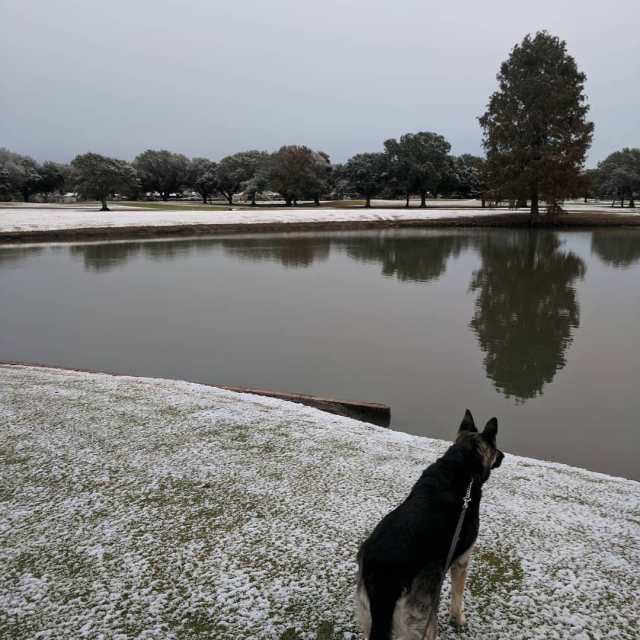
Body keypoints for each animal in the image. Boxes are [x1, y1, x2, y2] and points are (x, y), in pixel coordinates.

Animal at [358, 410, 502, 640]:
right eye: (496, 450)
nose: (503, 456)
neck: (462, 463)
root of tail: (383, 576)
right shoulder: (462, 559)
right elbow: (458, 595)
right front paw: (458, 620)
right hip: (422, 622)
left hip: (369, 618)